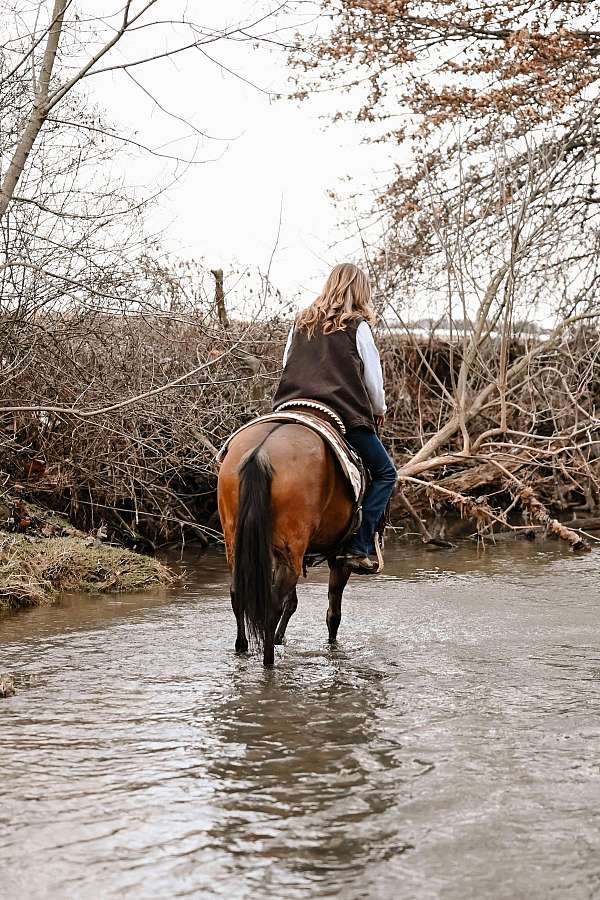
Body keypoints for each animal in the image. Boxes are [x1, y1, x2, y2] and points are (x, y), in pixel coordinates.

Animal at [217, 418, 354, 664]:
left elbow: (293, 602)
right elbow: (333, 611)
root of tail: (260, 452)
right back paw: (268, 660)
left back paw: (243, 647)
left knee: (239, 593)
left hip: (238, 544)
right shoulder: (340, 557)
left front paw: (280, 638)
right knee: (273, 604)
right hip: (292, 551)